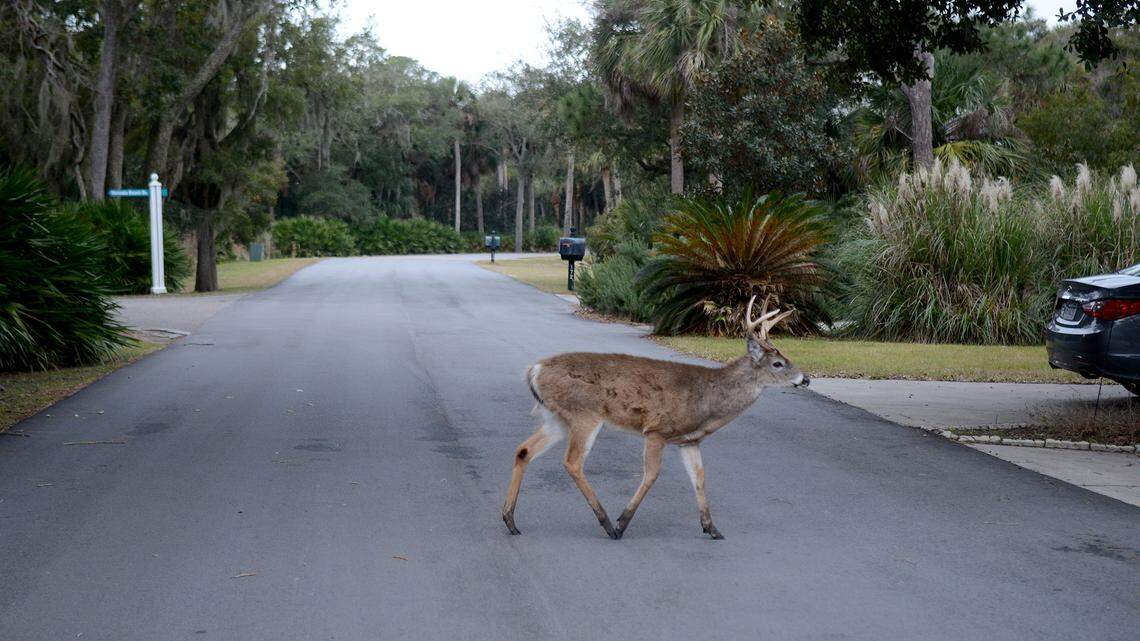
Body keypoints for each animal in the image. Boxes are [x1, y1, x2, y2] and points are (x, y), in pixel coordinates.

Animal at [501, 295, 809, 540]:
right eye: (778, 363)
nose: (805, 378)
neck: (706, 401)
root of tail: (534, 369)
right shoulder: (656, 431)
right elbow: (651, 475)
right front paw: (623, 522)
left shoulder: (689, 441)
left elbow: (700, 478)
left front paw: (712, 528)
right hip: (584, 414)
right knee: (572, 462)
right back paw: (607, 524)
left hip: (556, 418)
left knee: (524, 450)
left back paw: (510, 520)